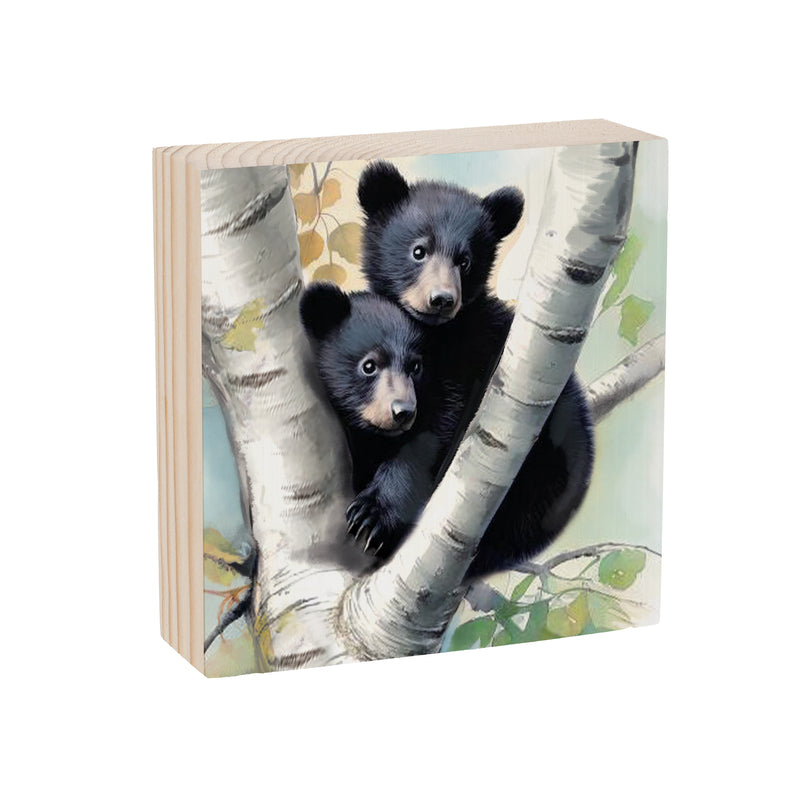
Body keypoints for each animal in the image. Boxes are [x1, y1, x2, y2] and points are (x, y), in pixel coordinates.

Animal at [351, 161, 595, 577]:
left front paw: (374, 513)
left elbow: (435, 430)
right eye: (419, 250)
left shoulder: (473, 360)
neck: (439, 336)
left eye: (465, 261)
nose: (442, 299)